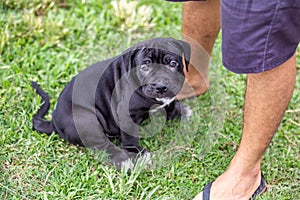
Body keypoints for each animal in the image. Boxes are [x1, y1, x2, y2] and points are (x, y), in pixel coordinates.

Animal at [31, 37, 191, 169]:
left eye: (173, 64)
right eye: (144, 67)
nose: (160, 86)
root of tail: (53, 122)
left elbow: (170, 104)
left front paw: (181, 111)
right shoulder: (126, 114)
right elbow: (130, 136)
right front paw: (138, 154)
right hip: (86, 119)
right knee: (102, 145)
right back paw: (122, 160)